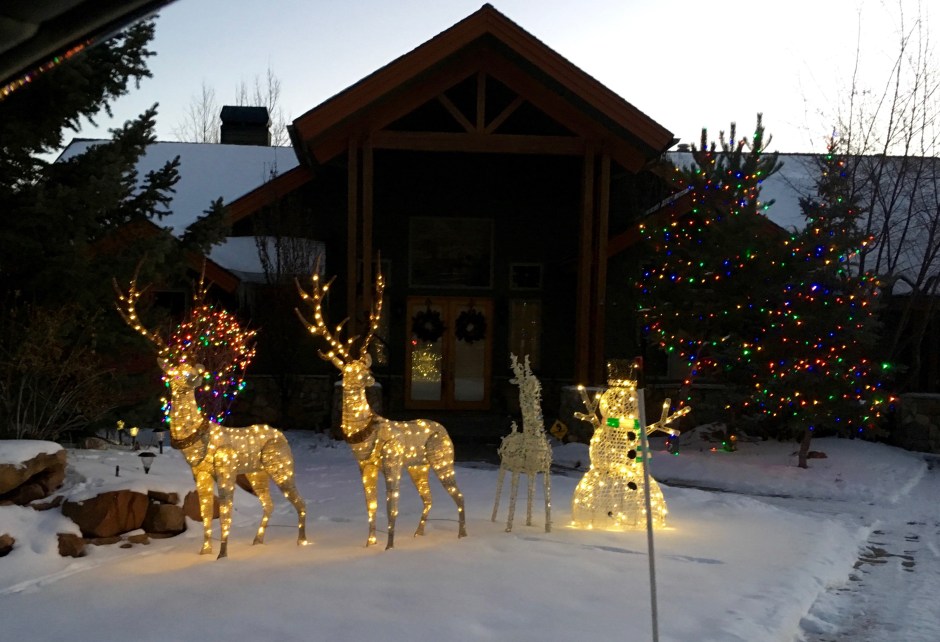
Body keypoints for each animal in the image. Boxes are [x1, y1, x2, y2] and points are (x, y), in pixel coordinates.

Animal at [114, 274, 308, 559]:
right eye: (174, 373)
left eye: (190, 372)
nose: (193, 380)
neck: (195, 443)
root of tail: (282, 435)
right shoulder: (200, 473)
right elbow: (206, 512)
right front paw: (204, 551)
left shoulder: (226, 468)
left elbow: (224, 512)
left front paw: (222, 555)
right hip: (256, 472)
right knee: (269, 503)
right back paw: (258, 541)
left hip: (281, 465)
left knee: (299, 500)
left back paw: (302, 542)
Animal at [295, 260, 467, 549]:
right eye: (348, 370)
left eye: (365, 367)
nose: (371, 377)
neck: (364, 436)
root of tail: (443, 428)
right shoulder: (365, 466)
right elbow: (371, 504)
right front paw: (370, 542)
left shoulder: (392, 461)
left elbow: (390, 505)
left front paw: (389, 546)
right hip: (418, 465)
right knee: (429, 497)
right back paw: (419, 533)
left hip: (442, 458)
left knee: (459, 494)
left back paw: (463, 535)